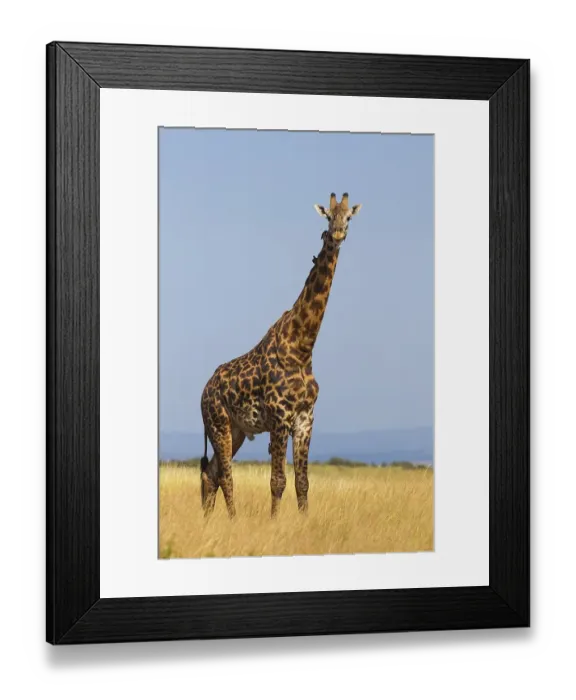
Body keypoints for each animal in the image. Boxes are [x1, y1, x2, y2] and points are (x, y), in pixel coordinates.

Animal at [199, 192, 362, 519]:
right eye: (328, 216)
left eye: (349, 216)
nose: (338, 234)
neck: (302, 347)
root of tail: (202, 392)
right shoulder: (278, 417)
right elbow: (277, 480)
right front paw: (274, 522)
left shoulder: (305, 418)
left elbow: (302, 482)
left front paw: (304, 521)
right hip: (218, 424)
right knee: (224, 475)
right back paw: (233, 521)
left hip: (236, 429)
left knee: (211, 473)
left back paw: (208, 521)